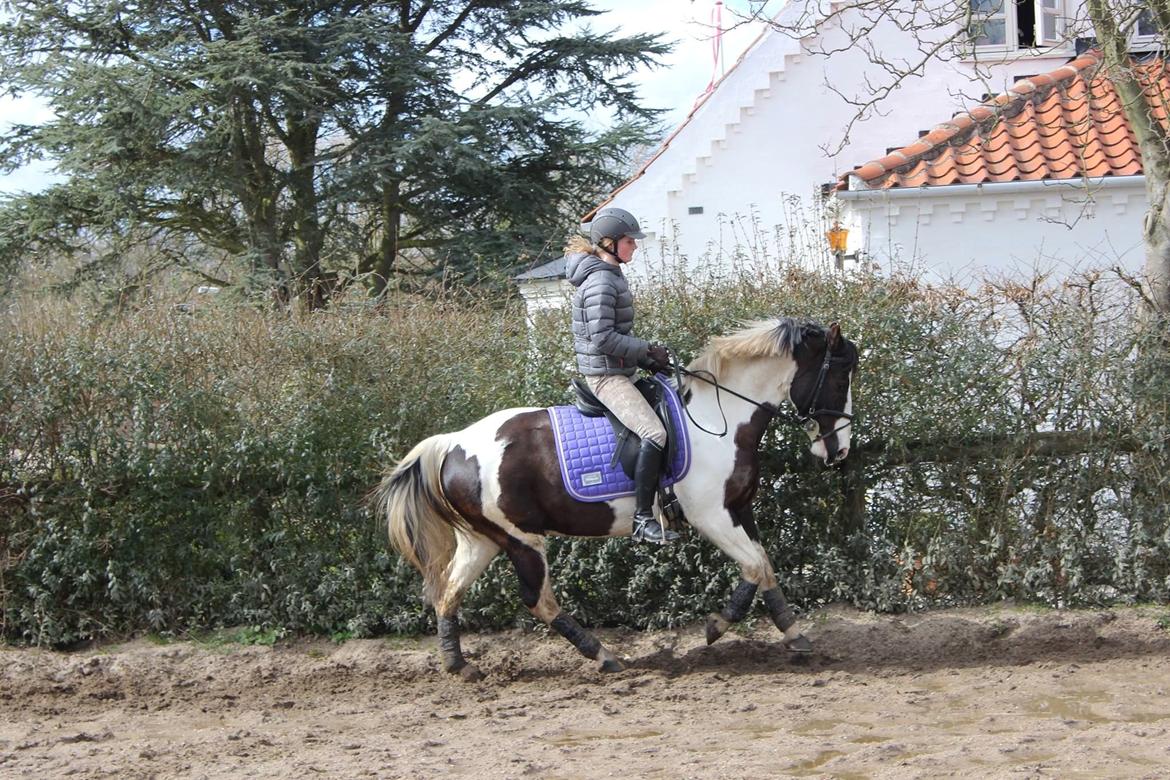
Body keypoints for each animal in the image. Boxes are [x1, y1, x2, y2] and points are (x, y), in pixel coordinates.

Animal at [373, 317, 858, 679]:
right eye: (838, 379)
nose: (838, 451)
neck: (719, 419)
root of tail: (452, 444)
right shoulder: (711, 516)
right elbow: (755, 567)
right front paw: (716, 627)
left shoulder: (738, 509)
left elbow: (765, 566)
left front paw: (793, 634)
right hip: (522, 540)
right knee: (538, 600)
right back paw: (603, 655)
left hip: (485, 540)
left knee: (448, 591)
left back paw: (459, 665)